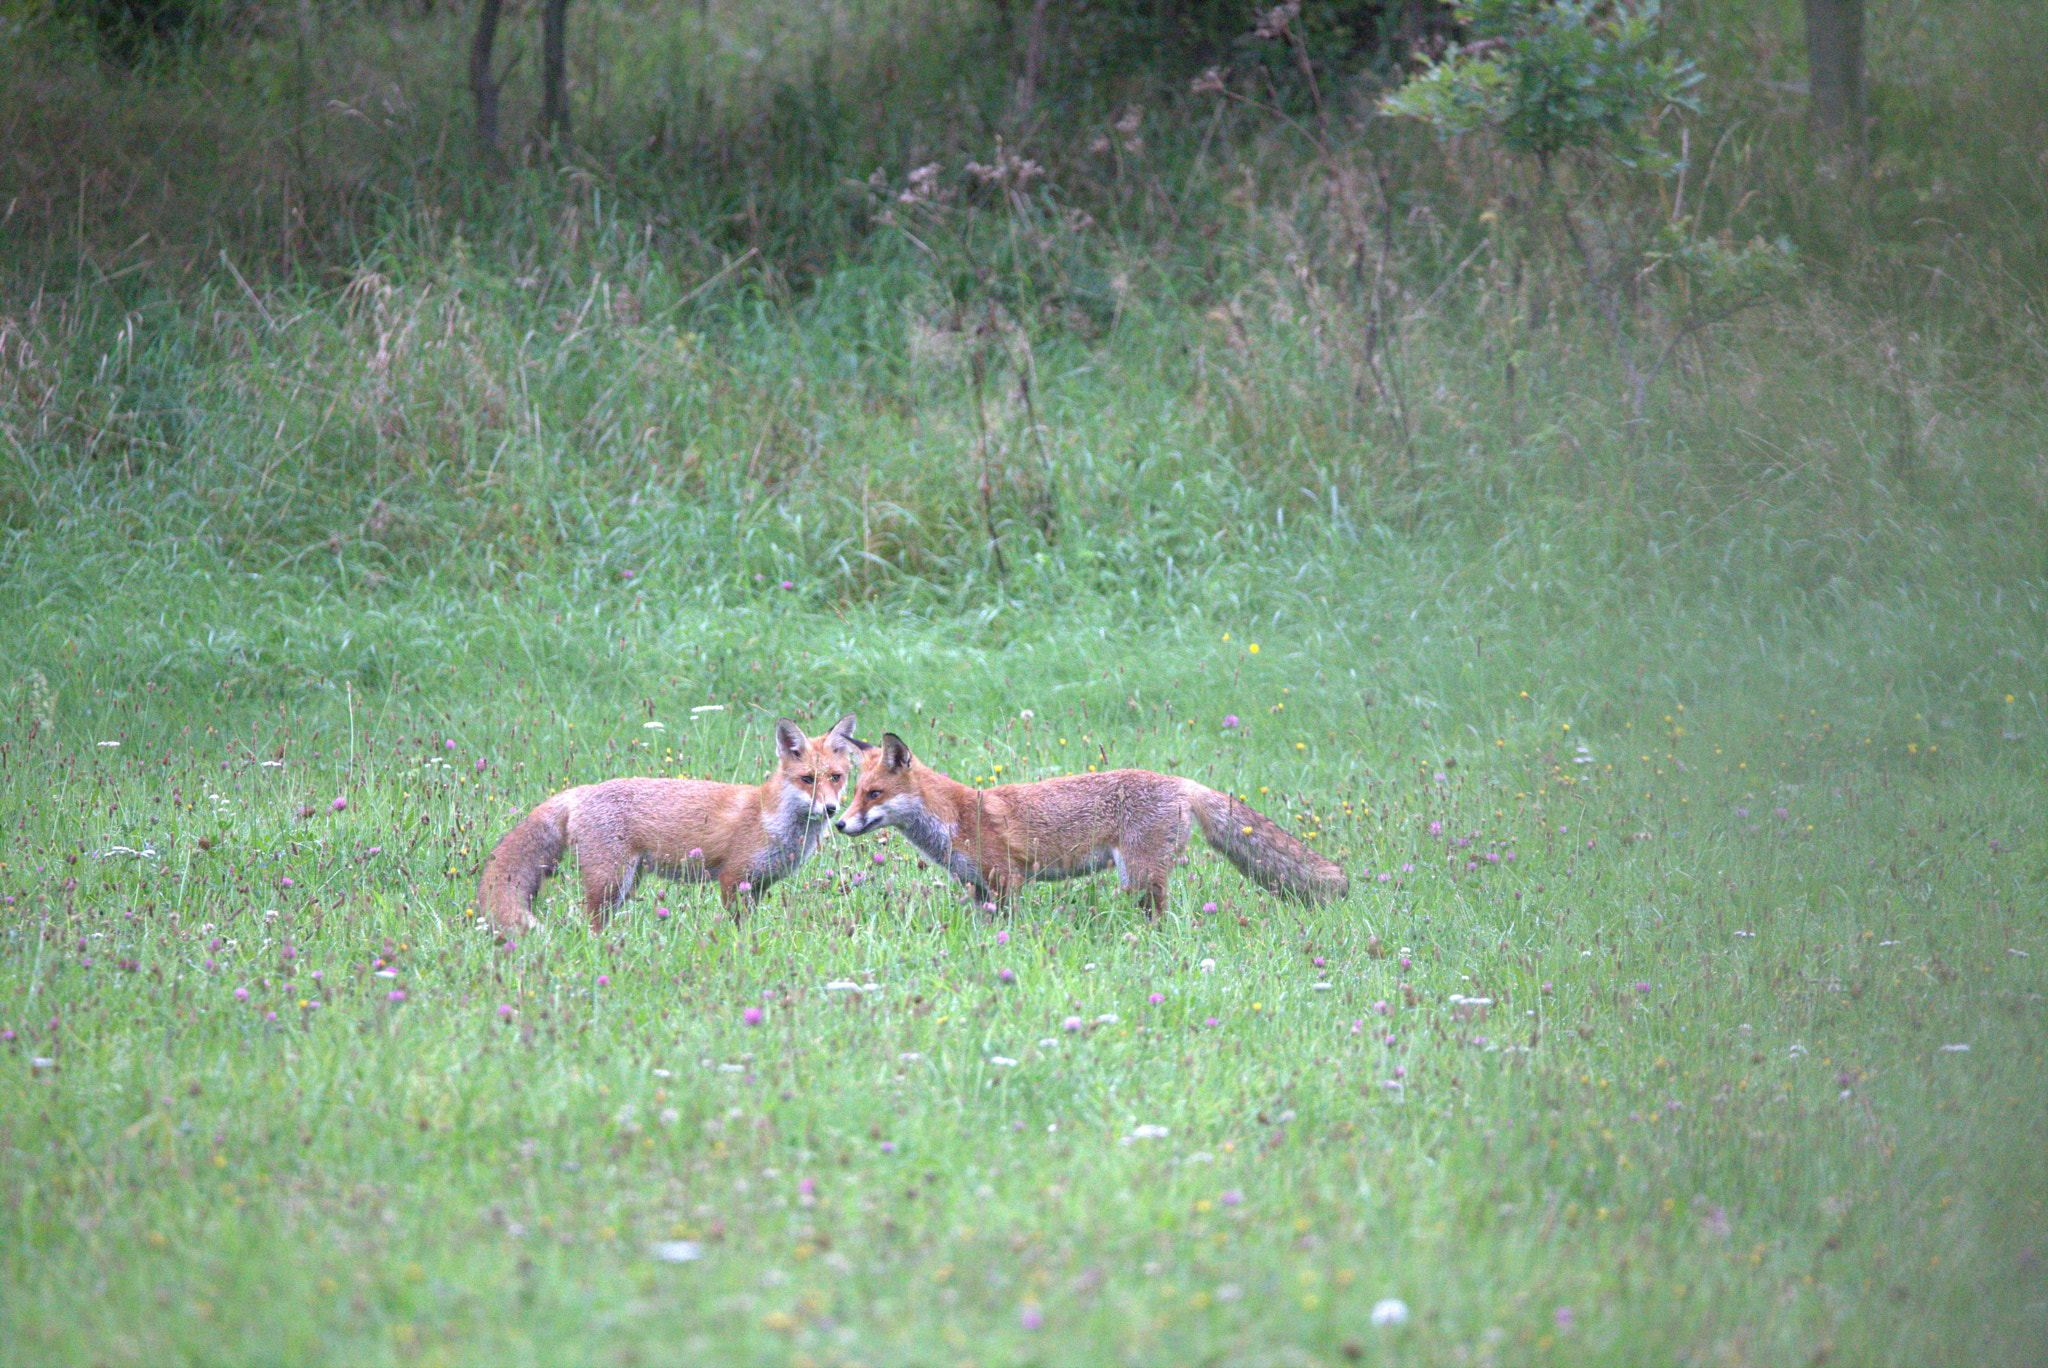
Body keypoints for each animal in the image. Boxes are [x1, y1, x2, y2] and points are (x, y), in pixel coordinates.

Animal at [475, 714, 866, 934]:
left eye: (836, 777)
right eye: (807, 779)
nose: (831, 809)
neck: (772, 820)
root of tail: (581, 790)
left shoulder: (758, 885)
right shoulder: (732, 878)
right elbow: (736, 929)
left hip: (625, 883)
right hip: (610, 881)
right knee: (588, 923)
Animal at [833, 732, 1349, 913]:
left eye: (874, 794)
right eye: (853, 792)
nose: (839, 824)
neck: (955, 818)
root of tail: (1181, 781)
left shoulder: (1007, 880)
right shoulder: (979, 887)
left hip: (1139, 876)